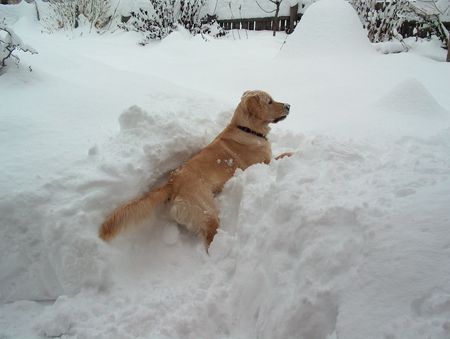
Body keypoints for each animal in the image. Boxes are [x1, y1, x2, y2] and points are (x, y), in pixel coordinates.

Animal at [98, 90, 290, 250]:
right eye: (270, 101)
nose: (289, 105)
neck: (247, 129)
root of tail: (172, 182)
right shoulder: (264, 164)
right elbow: (284, 155)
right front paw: (295, 152)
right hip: (208, 212)